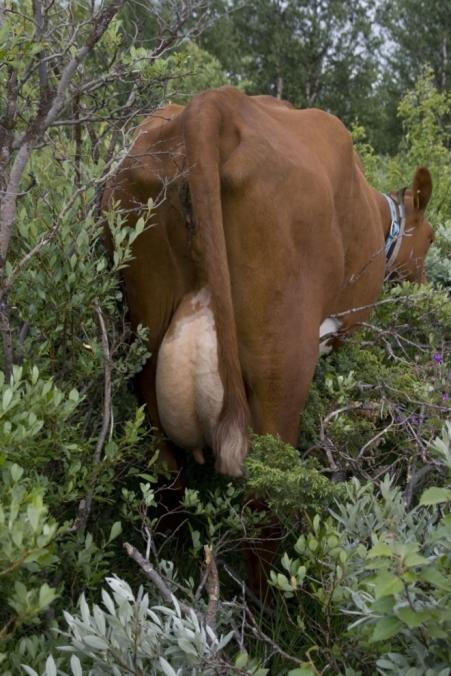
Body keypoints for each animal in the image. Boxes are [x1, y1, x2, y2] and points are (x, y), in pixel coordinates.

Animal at [102, 86, 434, 476]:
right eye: (432, 239)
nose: (424, 285)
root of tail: (216, 103)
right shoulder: (346, 328)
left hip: (146, 334)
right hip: (283, 362)